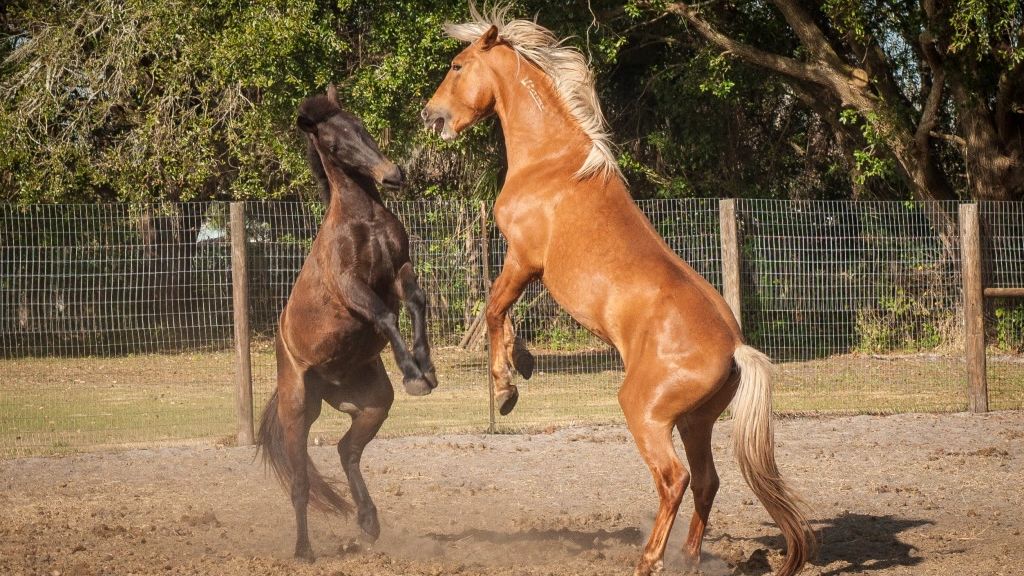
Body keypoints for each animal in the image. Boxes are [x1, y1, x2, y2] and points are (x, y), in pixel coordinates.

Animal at [257, 85, 438, 562]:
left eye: (362, 127)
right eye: (334, 144)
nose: (393, 175)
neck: (362, 220)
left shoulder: (398, 271)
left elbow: (417, 301)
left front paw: (426, 368)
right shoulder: (352, 288)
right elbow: (385, 314)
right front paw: (413, 372)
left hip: (373, 404)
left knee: (347, 450)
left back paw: (368, 522)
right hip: (297, 411)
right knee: (301, 484)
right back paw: (303, 550)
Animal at [421, 6, 815, 576]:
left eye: (456, 65)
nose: (430, 117)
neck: (554, 163)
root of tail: (735, 348)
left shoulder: (522, 259)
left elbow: (494, 310)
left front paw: (505, 388)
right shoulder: (528, 269)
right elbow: (504, 314)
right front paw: (523, 362)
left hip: (645, 414)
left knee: (674, 480)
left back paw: (649, 559)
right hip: (694, 422)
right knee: (707, 481)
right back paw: (688, 559)